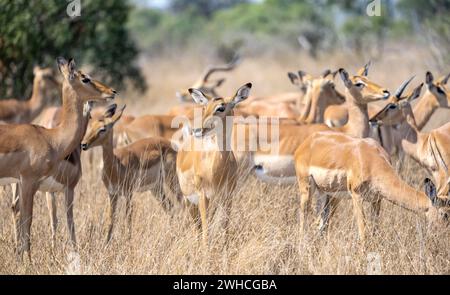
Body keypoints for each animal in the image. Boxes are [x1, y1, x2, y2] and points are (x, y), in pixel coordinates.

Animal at [0, 56, 118, 260]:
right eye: (85, 78)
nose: (112, 91)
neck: (51, 138)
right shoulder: (30, 182)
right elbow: (28, 221)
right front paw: (28, 262)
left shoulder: (28, 184)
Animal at [80, 104, 180, 243]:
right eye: (92, 124)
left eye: (102, 128)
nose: (84, 144)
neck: (116, 166)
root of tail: (172, 145)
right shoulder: (112, 194)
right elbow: (111, 219)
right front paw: (106, 243)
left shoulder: (128, 193)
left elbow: (128, 217)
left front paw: (128, 240)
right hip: (156, 188)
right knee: (170, 208)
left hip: (171, 181)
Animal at [177, 82, 253, 245]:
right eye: (204, 107)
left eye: (220, 108)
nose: (198, 130)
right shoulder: (203, 196)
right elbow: (206, 231)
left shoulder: (227, 196)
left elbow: (225, 228)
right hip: (189, 200)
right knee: (197, 227)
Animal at [296, 132, 450, 245]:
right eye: (444, 214)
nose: (445, 237)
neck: (371, 160)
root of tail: (307, 142)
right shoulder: (357, 196)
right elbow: (363, 232)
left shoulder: (377, 200)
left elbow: (375, 230)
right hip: (307, 189)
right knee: (304, 219)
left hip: (329, 195)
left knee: (320, 223)